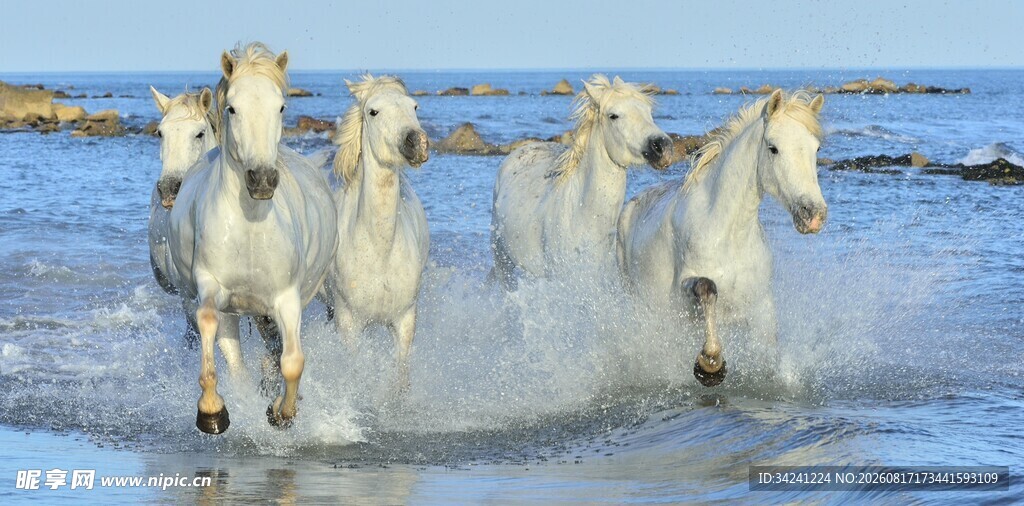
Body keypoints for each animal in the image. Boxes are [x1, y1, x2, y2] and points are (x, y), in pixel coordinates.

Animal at [167, 43, 338, 433]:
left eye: (281, 107)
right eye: (232, 108)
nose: (262, 179)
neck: (250, 228)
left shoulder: (287, 299)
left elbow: (292, 361)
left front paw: (282, 412)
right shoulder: (210, 286)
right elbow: (209, 324)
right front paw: (212, 412)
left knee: (274, 352)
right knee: (236, 360)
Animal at [323, 75, 429, 390]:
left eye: (414, 106)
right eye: (373, 111)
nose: (417, 143)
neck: (379, 250)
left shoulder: (405, 321)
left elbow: (400, 381)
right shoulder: (349, 324)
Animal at [616, 89, 827, 387]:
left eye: (816, 148)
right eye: (773, 147)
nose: (814, 214)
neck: (728, 233)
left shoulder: (762, 305)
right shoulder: (686, 289)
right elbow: (708, 288)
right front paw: (710, 365)